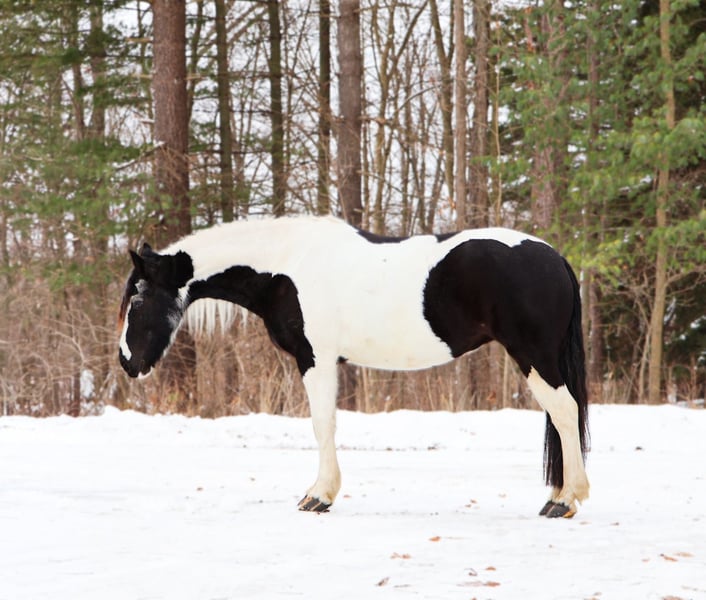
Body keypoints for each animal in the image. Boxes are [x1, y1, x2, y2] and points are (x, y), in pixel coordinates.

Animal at [118, 215, 590, 518]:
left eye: (137, 301)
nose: (127, 363)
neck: (285, 266)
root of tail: (556, 258)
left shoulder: (316, 358)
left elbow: (321, 423)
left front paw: (319, 495)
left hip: (534, 357)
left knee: (565, 413)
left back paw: (565, 500)